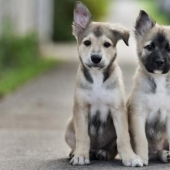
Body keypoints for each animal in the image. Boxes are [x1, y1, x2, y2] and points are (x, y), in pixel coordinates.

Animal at [64, 1, 143, 167]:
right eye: (87, 42)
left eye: (107, 44)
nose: (96, 58)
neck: (97, 78)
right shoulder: (80, 108)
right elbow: (82, 136)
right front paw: (80, 155)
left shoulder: (118, 109)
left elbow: (123, 138)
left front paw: (130, 157)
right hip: (69, 124)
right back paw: (76, 152)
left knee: (112, 148)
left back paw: (103, 152)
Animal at [127, 9, 170, 165]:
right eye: (150, 47)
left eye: (169, 49)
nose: (159, 62)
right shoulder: (138, 113)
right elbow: (142, 139)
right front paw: (141, 158)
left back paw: (165, 154)